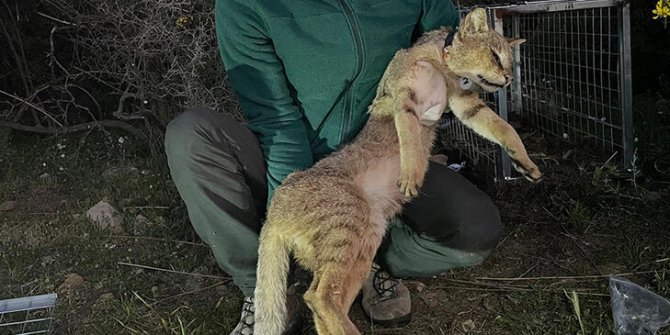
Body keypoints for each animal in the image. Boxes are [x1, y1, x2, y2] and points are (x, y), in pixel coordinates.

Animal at [255, 7, 544, 335]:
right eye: (495, 56)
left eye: (510, 60)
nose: (509, 78)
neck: (443, 63)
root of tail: (273, 211)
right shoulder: (403, 94)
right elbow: (408, 136)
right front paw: (411, 174)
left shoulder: (465, 105)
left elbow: (505, 129)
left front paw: (526, 164)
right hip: (345, 226)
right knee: (319, 296)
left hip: (362, 245)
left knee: (327, 300)